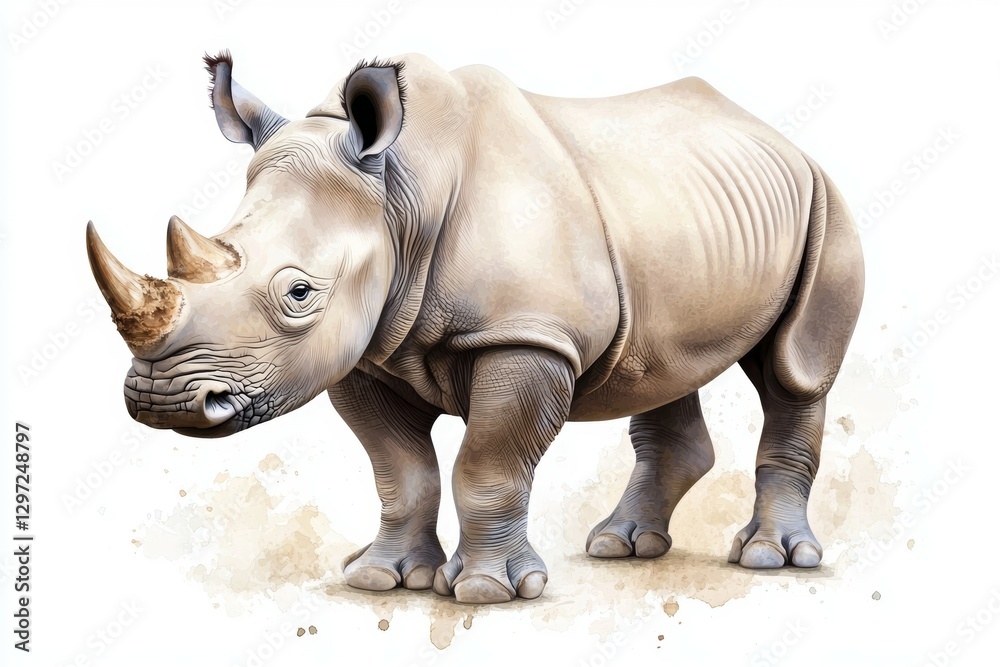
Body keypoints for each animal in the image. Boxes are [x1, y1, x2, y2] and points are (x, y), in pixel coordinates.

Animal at [86, 51, 864, 604]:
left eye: (299, 293)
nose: (162, 401)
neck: (401, 193)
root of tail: (776, 136)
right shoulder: (363, 351)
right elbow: (402, 471)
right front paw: (381, 577)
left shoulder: (526, 335)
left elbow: (488, 465)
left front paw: (487, 590)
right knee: (664, 364)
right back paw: (622, 546)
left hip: (824, 200)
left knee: (795, 369)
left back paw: (771, 558)